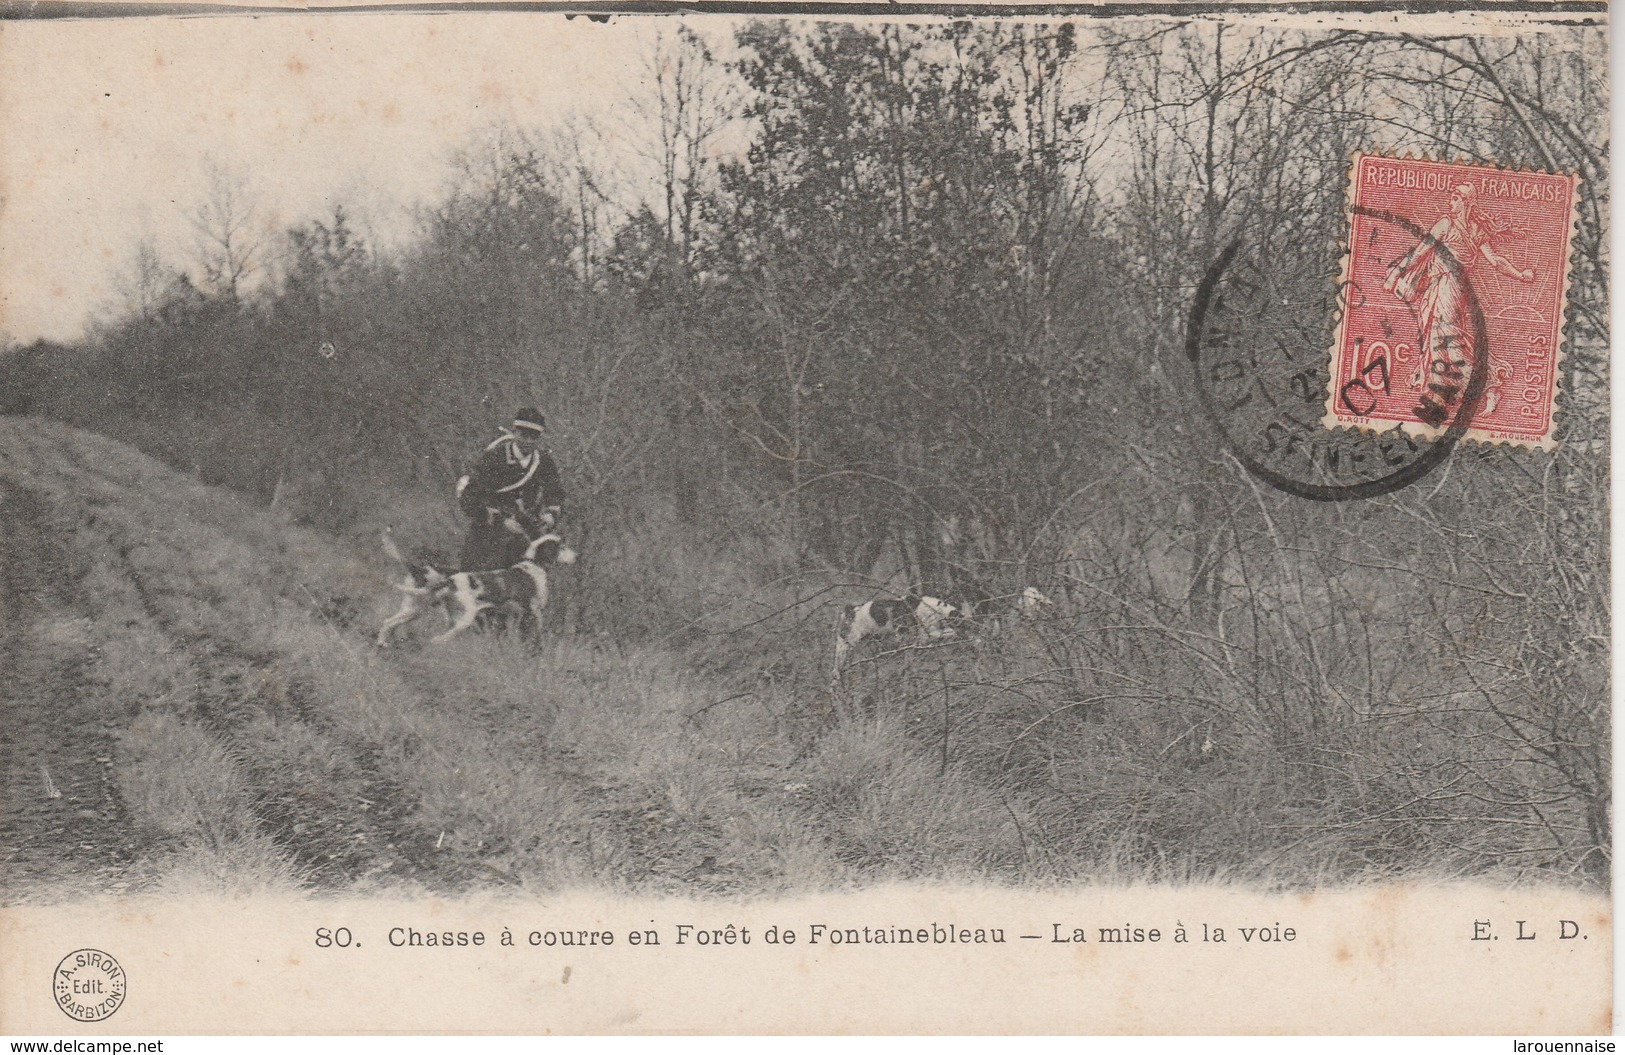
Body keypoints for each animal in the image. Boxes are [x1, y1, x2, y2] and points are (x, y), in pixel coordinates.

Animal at [373, 526, 578, 640]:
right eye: (561, 546)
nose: (576, 556)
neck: (533, 564)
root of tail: (450, 581)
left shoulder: (511, 616)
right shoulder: (533, 613)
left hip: (415, 610)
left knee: (387, 622)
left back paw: (382, 643)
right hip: (464, 616)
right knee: (443, 637)